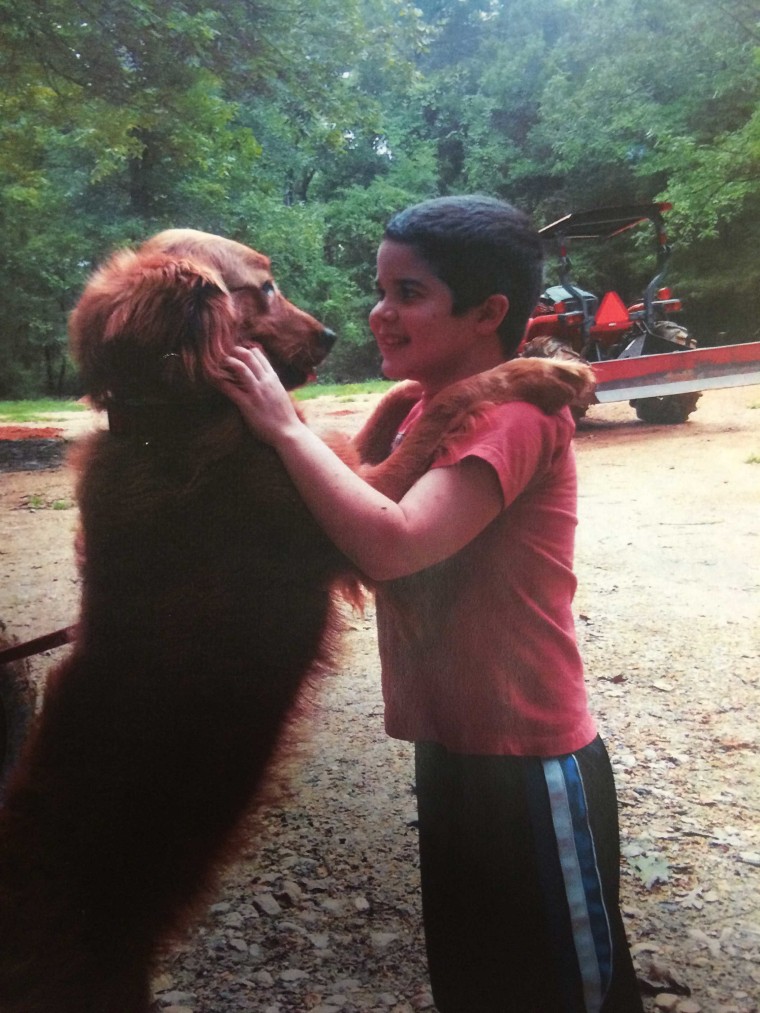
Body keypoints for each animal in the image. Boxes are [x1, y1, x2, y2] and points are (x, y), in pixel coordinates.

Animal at [0, 231, 595, 1013]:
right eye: (265, 288)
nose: (336, 335)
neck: (173, 420)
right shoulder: (361, 512)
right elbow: (457, 398)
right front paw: (540, 370)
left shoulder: (344, 470)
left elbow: (402, 402)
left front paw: (513, 354)